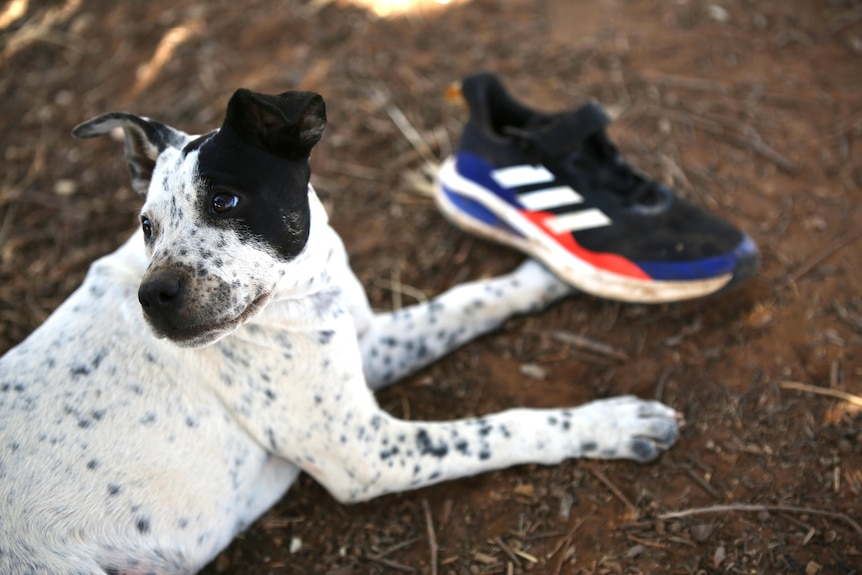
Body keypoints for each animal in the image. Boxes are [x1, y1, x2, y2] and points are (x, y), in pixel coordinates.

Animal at [0, 89, 680, 575]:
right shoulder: (365, 452)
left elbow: (470, 298)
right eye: (147, 226)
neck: (301, 293)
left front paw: (547, 272)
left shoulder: (364, 344)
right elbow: (507, 426)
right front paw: (612, 423)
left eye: (223, 201)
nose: (153, 298)